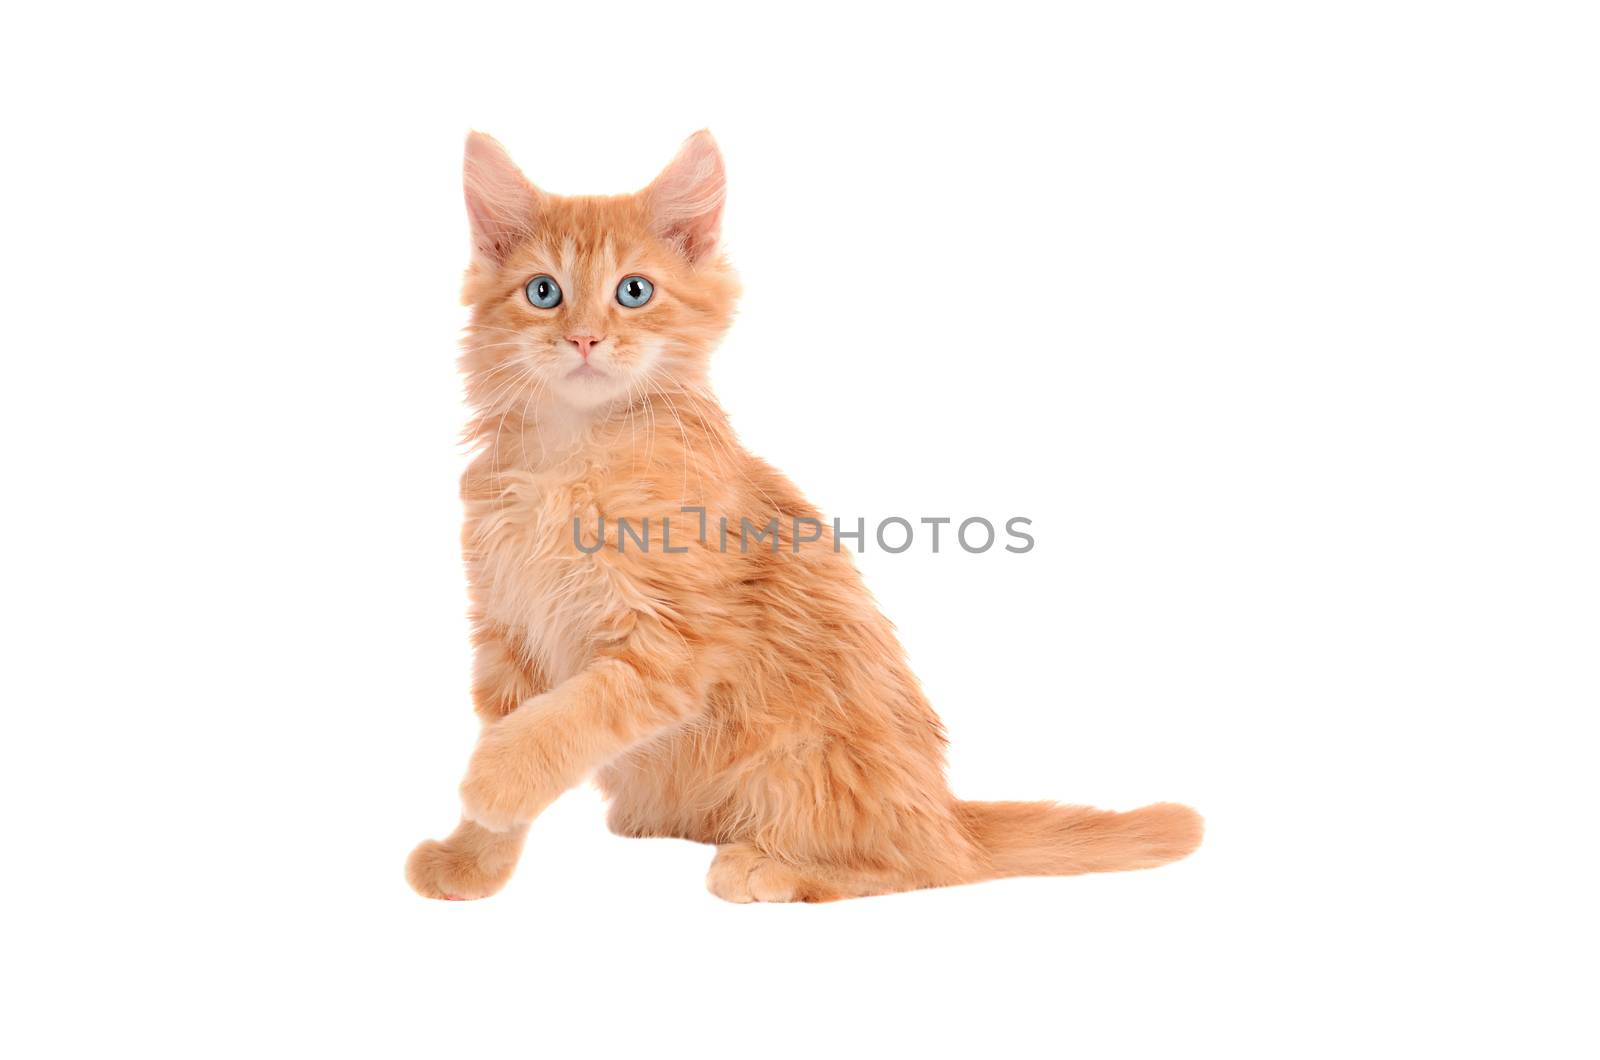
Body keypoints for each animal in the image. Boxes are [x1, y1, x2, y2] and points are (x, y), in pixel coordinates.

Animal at [406, 128, 1203, 903]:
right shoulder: (506, 630)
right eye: (544, 292)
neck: (572, 452)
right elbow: (526, 726)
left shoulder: (674, 642)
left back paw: (767, 868)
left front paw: (493, 781)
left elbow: (568, 718)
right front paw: (472, 859)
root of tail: (949, 814)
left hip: (811, 762)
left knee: (917, 867)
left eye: (634, 291)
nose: (584, 339)